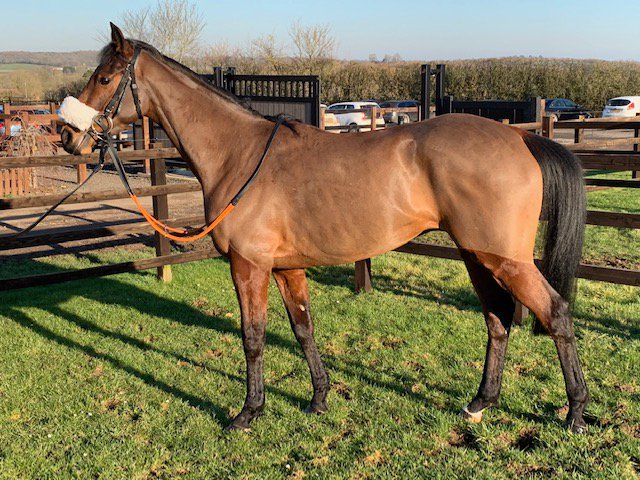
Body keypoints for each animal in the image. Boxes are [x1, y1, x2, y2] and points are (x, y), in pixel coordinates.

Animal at [60, 23, 589, 432]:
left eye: (104, 78)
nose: (66, 135)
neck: (239, 155)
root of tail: (519, 138)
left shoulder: (249, 266)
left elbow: (253, 337)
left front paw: (249, 412)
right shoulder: (285, 269)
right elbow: (303, 329)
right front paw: (319, 398)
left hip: (505, 259)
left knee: (556, 314)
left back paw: (575, 412)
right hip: (478, 256)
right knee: (498, 319)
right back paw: (481, 403)